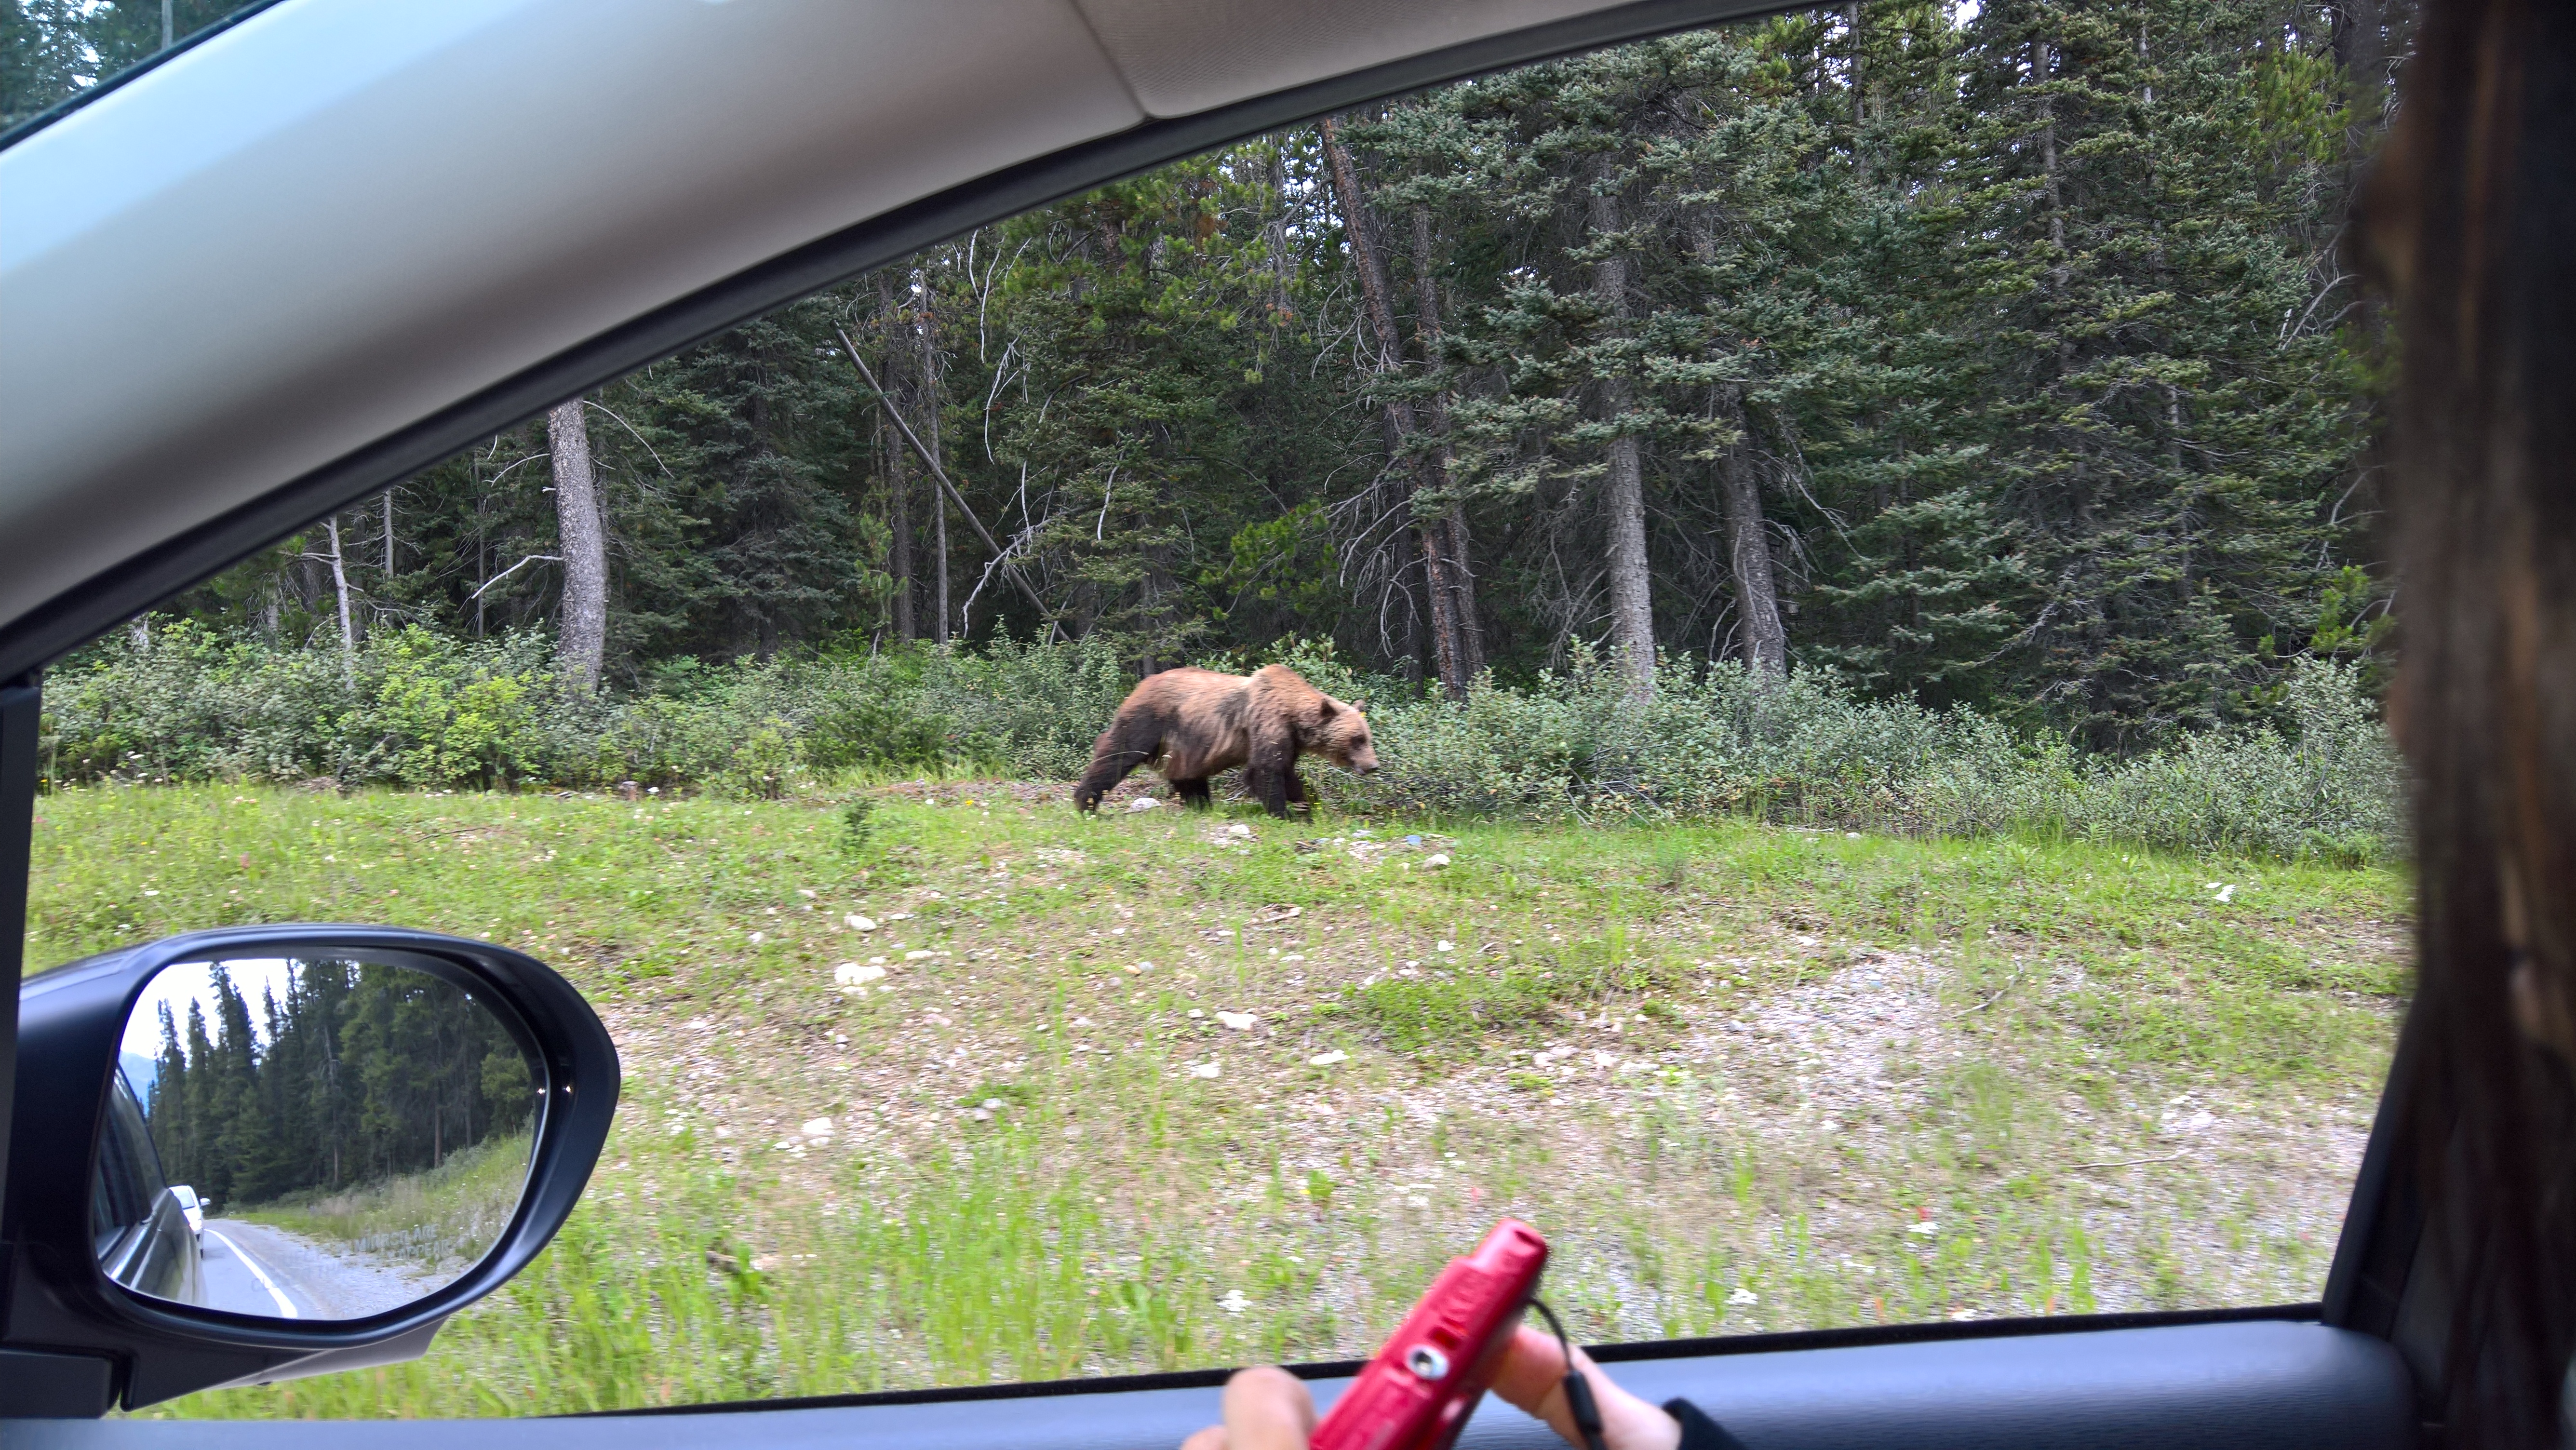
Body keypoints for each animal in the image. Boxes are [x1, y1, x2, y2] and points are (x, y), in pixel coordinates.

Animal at [1073, 664, 1378, 818]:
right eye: (1357, 739)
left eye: (1367, 737)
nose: (1373, 765)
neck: (1293, 714)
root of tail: (1139, 685)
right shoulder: (1267, 723)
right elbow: (1266, 772)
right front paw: (1286, 813)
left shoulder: (1289, 740)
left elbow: (1287, 773)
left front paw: (1307, 802)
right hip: (1151, 720)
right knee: (1117, 755)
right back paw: (1085, 803)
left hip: (1185, 743)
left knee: (1188, 775)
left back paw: (1200, 804)